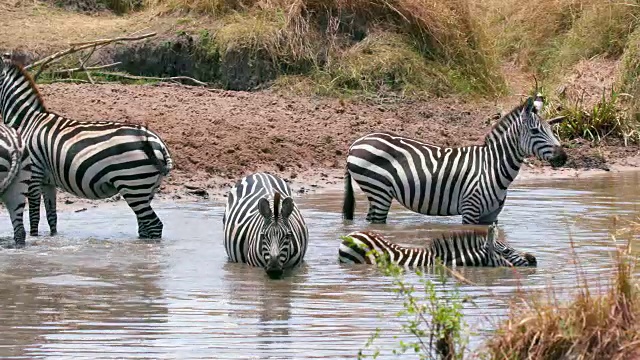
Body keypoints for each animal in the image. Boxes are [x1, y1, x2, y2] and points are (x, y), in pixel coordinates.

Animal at [0, 57, 174, 240]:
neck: (27, 121)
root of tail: (158, 143)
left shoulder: (34, 174)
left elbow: (34, 216)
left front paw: (35, 238)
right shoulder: (47, 181)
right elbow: (51, 216)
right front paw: (53, 238)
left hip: (133, 183)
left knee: (154, 224)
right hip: (146, 188)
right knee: (145, 226)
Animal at [342, 95, 568, 225]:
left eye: (551, 129)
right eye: (535, 131)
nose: (563, 157)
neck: (492, 166)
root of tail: (355, 143)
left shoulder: (491, 215)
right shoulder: (471, 209)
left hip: (377, 192)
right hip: (378, 189)